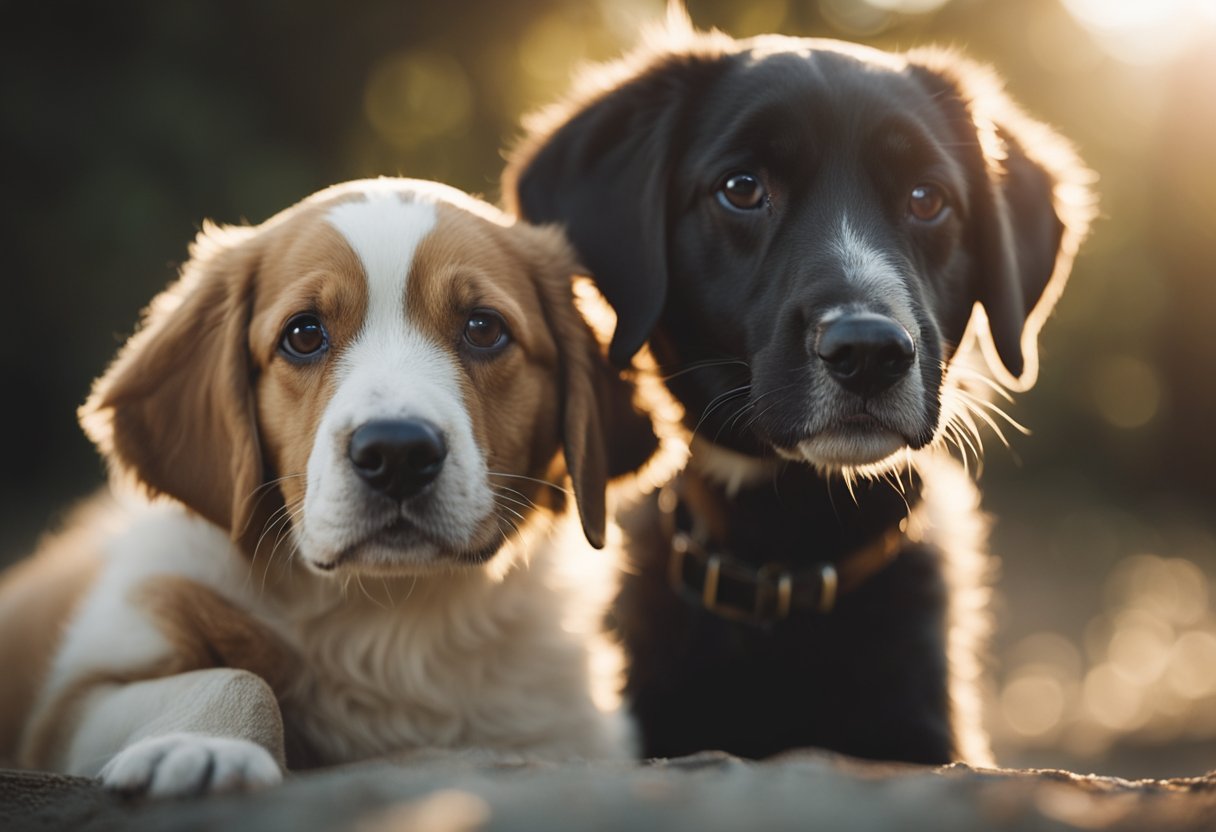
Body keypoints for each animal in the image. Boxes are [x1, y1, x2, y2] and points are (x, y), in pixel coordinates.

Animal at [0, 178, 656, 797]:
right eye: (304, 334)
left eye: (482, 328)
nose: (397, 454)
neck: (387, 618)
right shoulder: (75, 698)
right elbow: (238, 677)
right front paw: (200, 748)